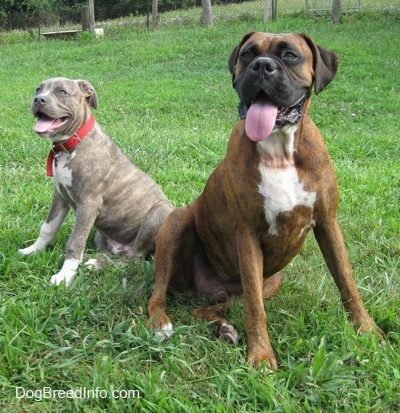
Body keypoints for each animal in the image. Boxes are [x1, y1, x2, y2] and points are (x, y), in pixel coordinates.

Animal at [19, 79, 173, 288]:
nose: (38, 100)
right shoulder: (60, 196)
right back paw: (90, 261)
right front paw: (33, 250)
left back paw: (95, 265)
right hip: (102, 236)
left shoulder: (89, 203)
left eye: (62, 92)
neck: (72, 144)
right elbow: (48, 228)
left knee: (134, 257)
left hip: (159, 213)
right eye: (38, 89)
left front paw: (65, 276)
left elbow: (75, 241)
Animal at [147, 32, 382, 366]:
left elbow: (347, 282)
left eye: (290, 55)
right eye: (248, 54)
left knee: (208, 308)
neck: (279, 151)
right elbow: (255, 309)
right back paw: (160, 324)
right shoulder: (247, 234)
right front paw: (260, 355)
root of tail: (202, 289)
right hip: (177, 223)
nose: (262, 66)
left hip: (269, 281)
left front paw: (367, 331)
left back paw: (222, 328)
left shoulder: (328, 223)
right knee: (158, 295)